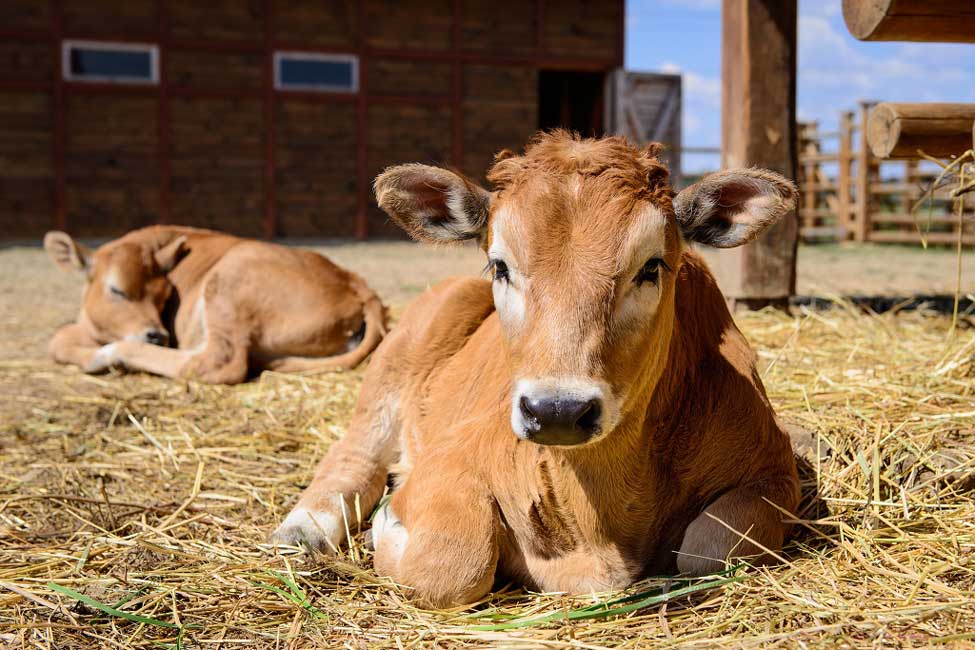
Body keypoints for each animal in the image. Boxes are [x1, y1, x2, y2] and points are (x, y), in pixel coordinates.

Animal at [43, 225, 386, 382]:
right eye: (117, 290)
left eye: (164, 296)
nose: (158, 335)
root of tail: (355, 282)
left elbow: (59, 338)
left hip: (230, 278)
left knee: (217, 363)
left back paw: (112, 356)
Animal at [268, 133, 800, 608]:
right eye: (500, 266)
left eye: (651, 267)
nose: (558, 411)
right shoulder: (454, 454)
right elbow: (450, 565)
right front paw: (386, 525)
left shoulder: (774, 473)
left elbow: (709, 550)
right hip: (397, 361)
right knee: (354, 457)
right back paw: (302, 530)